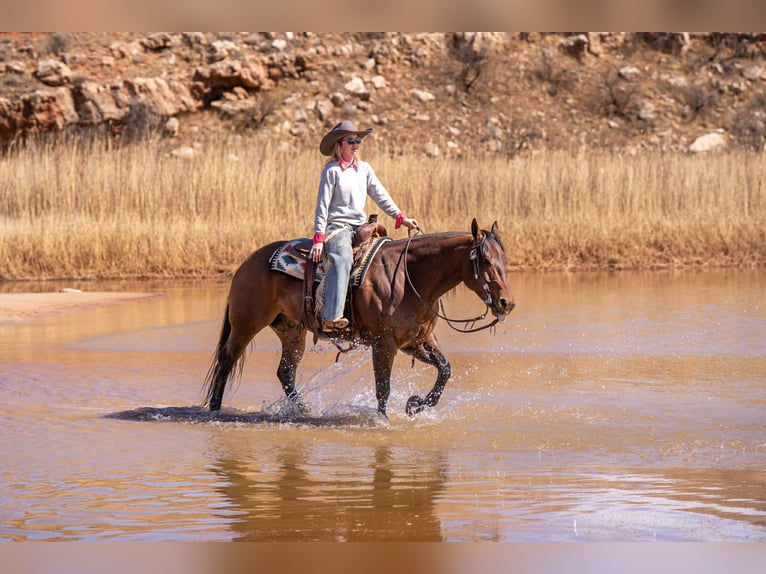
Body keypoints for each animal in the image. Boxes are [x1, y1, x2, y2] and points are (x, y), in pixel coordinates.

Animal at [203, 218, 515, 418]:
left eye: (505, 259)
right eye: (484, 260)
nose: (507, 303)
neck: (410, 277)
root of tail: (247, 263)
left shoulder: (417, 340)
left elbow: (445, 369)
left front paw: (415, 405)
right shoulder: (384, 343)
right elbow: (383, 388)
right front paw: (383, 420)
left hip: (291, 330)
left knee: (285, 372)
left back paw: (303, 410)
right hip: (245, 326)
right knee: (225, 363)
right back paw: (215, 410)